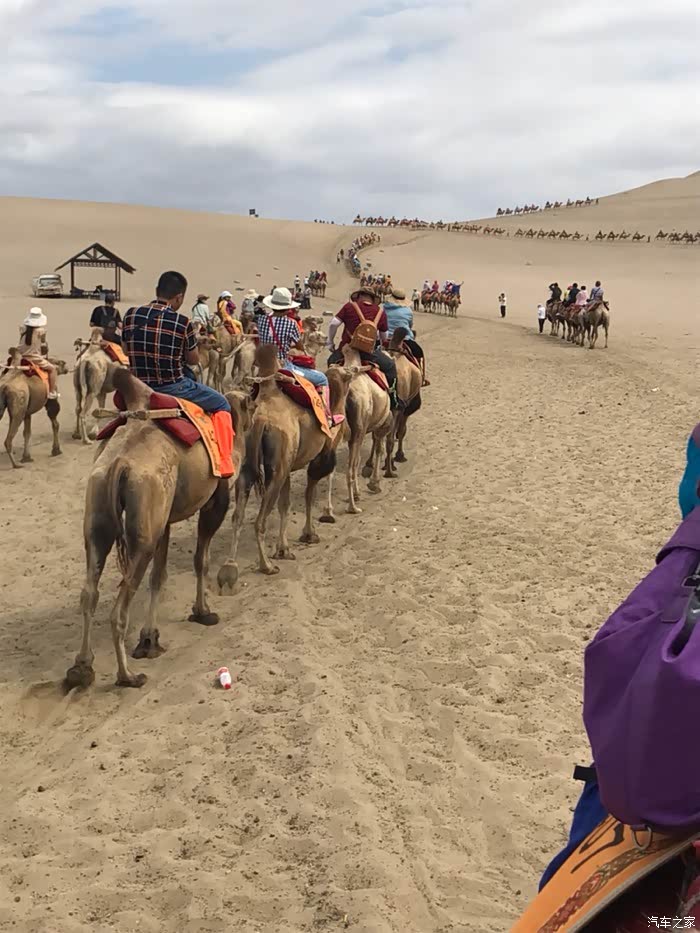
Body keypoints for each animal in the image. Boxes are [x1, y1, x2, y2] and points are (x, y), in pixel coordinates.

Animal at [64, 367, 252, 690]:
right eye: (252, 405)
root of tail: (119, 464)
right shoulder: (214, 502)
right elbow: (200, 560)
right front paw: (203, 611)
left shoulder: (163, 519)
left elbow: (159, 576)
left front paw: (150, 640)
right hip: (144, 523)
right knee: (120, 604)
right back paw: (127, 676)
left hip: (101, 511)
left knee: (89, 592)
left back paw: (81, 668)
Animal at [217, 344, 351, 585]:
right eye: (348, 373)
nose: (355, 370)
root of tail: (260, 422)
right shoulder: (317, 457)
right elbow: (309, 495)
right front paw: (309, 534)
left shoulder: (288, 466)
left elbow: (285, 505)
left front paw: (284, 549)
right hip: (276, 466)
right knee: (259, 520)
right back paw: (267, 566)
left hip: (249, 467)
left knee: (237, 516)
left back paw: (230, 567)